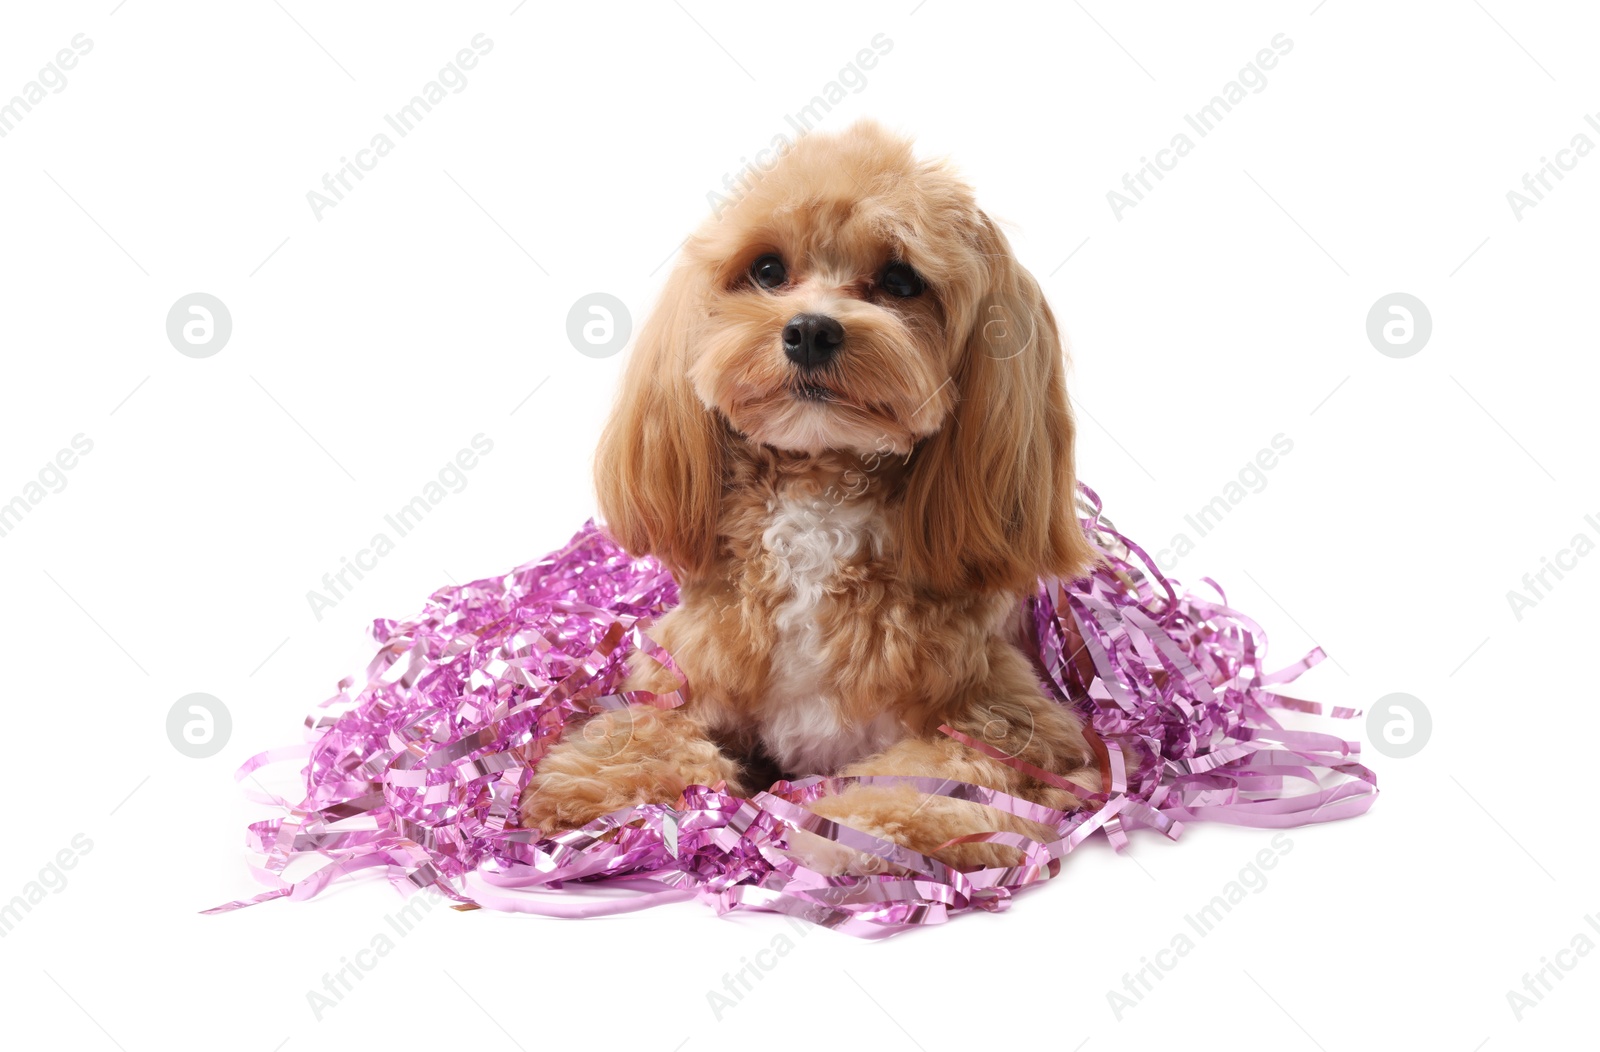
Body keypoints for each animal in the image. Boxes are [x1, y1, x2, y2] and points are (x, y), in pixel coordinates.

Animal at [518, 119, 1107, 869]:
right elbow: (647, 733)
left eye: (901, 280)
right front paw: (590, 788)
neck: (821, 497)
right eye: (768, 270)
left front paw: (841, 829)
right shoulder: (683, 673)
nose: (810, 330)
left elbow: (936, 779)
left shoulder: (1016, 724)